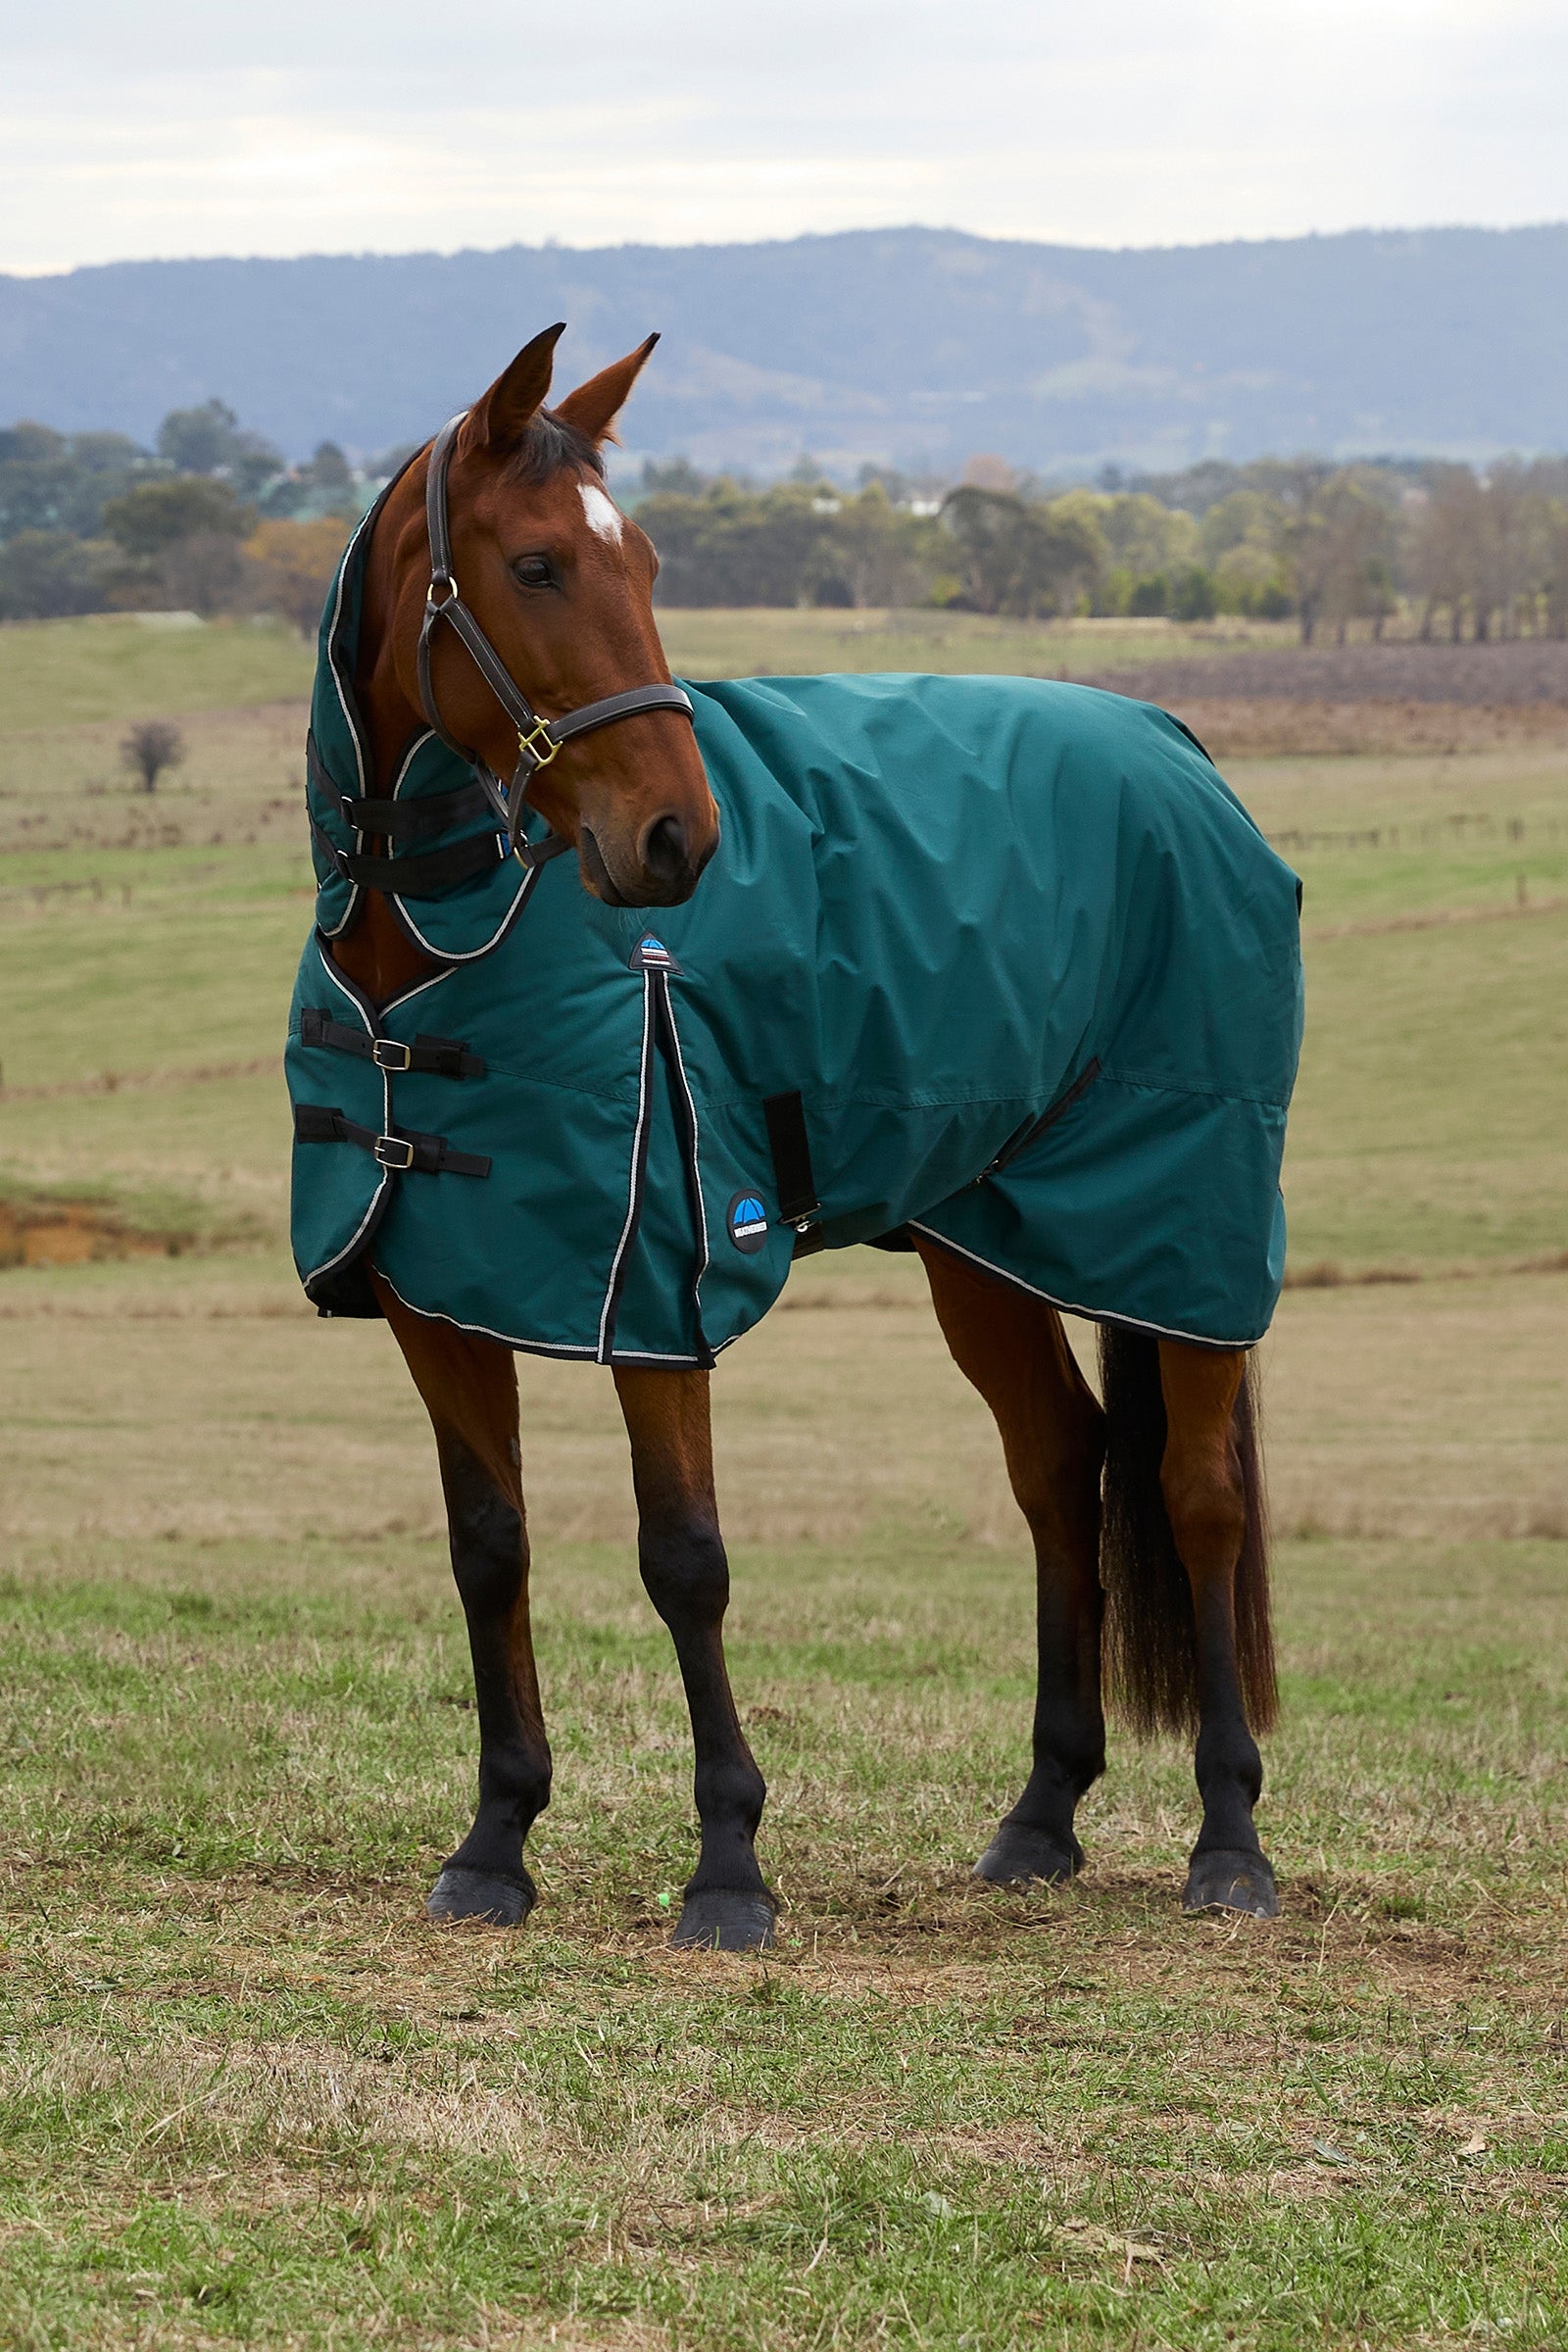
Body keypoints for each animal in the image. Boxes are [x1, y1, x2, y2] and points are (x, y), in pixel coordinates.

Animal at [313, 324, 1290, 1952]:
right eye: (535, 566)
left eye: (645, 558)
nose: (678, 841)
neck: (441, 949)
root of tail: (1175, 745)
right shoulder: (437, 1295)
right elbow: (488, 1548)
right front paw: (497, 1840)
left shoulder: (660, 1289)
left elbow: (685, 1561)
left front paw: (728, 1868)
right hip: (988, 1244)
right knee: (1060, 1471)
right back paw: (1040, 1817)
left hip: (1181, 1230)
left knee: (1194, 1495)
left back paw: (1230, 1842)